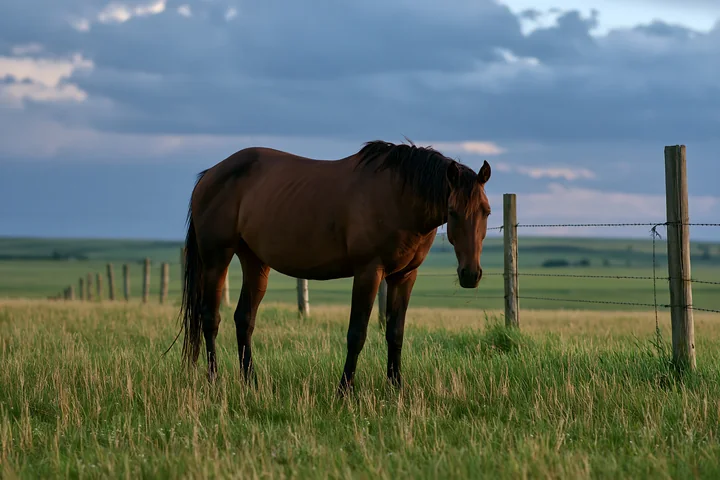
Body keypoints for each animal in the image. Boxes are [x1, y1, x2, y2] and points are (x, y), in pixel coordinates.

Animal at [178, 140, 492, 395]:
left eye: (486, 212)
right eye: (452, 211)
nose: (470, 274)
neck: (398, 196)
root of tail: (210, 174)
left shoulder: (404, 276)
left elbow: (395, 333)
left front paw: (396, 388)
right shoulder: (368, 272)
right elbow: (357, 334)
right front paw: (344, 390)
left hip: (254, 261)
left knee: (244, 320)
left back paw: (250, 382)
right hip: (217, 258)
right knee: (210, 318)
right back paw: (214, 380)